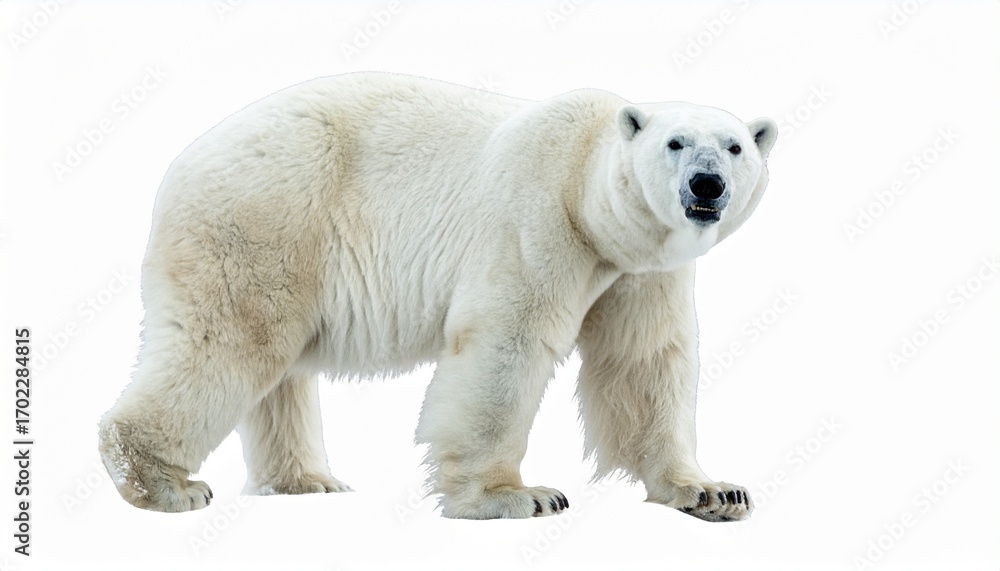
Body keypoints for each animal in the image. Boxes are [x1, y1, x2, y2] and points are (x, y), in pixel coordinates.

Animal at [99, 72, 776, 522]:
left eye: (735, 146)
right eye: (675, 143)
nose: (707, 184)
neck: (584, 185)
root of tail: (180, 163)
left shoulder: (641, 268)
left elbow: (645, 361)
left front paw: (713, 491)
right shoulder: (534, 220)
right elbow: (505, 344)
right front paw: (518, 496)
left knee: (277, 369)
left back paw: (307, 481)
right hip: (265, 220)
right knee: (231, 342)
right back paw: (163, 483)